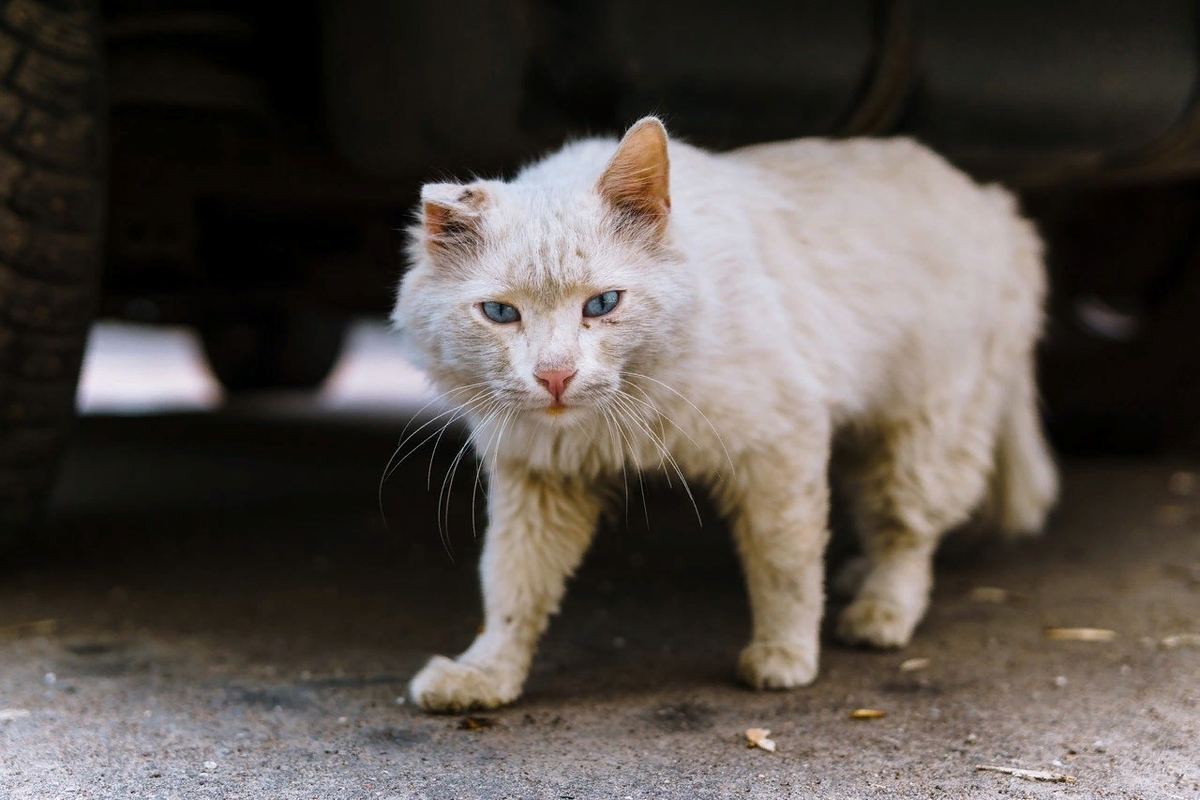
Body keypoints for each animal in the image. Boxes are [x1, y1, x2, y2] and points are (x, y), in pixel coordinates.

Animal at [388, 115, 1056, 710]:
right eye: (500, 313)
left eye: (602, 304)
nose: (555, 376)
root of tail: (998, 207)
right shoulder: (539, 481)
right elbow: (510, 588)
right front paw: (485, 677)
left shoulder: (780, 445)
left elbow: (784, 567)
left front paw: (785, 657)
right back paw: (857, 577)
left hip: (923, 430)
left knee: (908, 534)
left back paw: (878, 611)